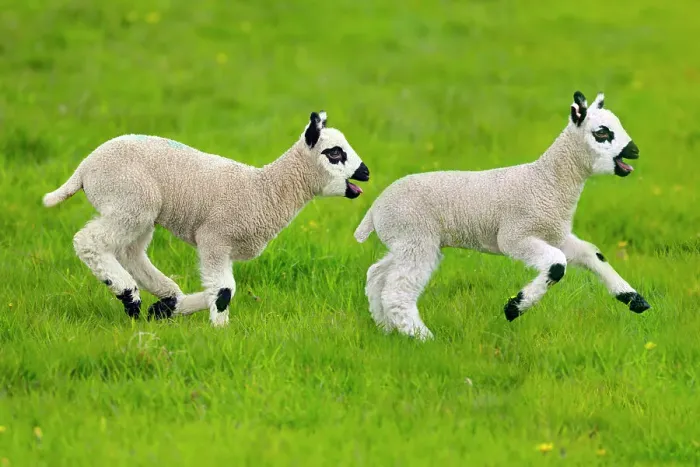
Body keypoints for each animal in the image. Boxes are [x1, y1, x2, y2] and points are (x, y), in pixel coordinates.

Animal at [42, 111, 370, 327]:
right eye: (335, 153)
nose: (365, 172)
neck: (264, 191)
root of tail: (85, 167)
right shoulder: (215, 238)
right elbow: (224, 291)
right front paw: (221, 332)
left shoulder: (223, 246)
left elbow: (218, 289)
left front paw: (169, 310)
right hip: (129, 200)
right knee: (89, 242)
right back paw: (129, 295)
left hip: (139, 210)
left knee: (130, 252)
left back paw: (166, 297)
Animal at [354, 91, 650, 340]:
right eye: (602, 132)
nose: (634, 151)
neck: (547, 182)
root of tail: (375, 208)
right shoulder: (515, 236)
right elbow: (557, 265)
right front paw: (514, 308)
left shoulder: (555, 234)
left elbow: (593, 254)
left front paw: (634, 299)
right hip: (415, 236)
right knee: (396, 291)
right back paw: (422, 337)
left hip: (406, 241)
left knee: (377, 275)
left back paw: (386, 328)